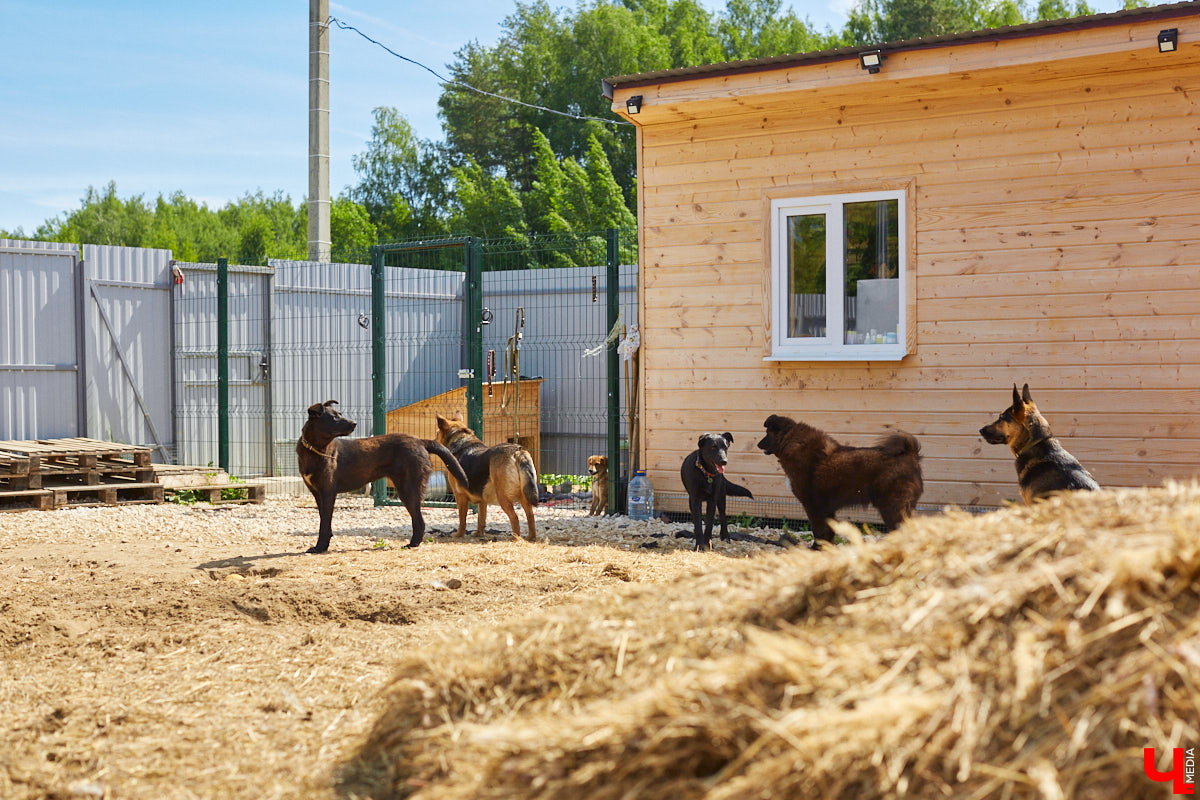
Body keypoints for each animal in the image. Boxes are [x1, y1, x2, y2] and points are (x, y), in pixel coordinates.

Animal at [295, 402, 468, 554]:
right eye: (334, 418)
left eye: (340, 415)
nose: (354, 423)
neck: (314, 449)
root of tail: (420, 441)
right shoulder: (318, 494)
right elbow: (324, 522)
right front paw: (323, 546)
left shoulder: (328, 493)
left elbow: (324, 524)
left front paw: (319, 547)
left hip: (408, 489)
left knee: (419, 521)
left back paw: (412, 544)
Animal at [753, 412, 921, 551]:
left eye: (767, 433)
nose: (757, 444)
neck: (792, 442)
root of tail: (911, 455)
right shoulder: (826, 508)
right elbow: (827, 531)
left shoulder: (813, 506)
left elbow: (818, 530)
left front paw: (816, 548)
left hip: (892, 507)